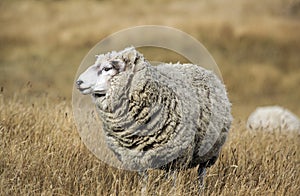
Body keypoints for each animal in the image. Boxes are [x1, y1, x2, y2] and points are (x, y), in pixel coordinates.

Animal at [75, 46, 232, 187]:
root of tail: (202, 69)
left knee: (201, 174)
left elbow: (172, 184)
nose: (78, 82)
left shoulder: (174, 158)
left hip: (209, 151)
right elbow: (144, 182)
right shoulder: (137, 158)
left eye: (107, 68)